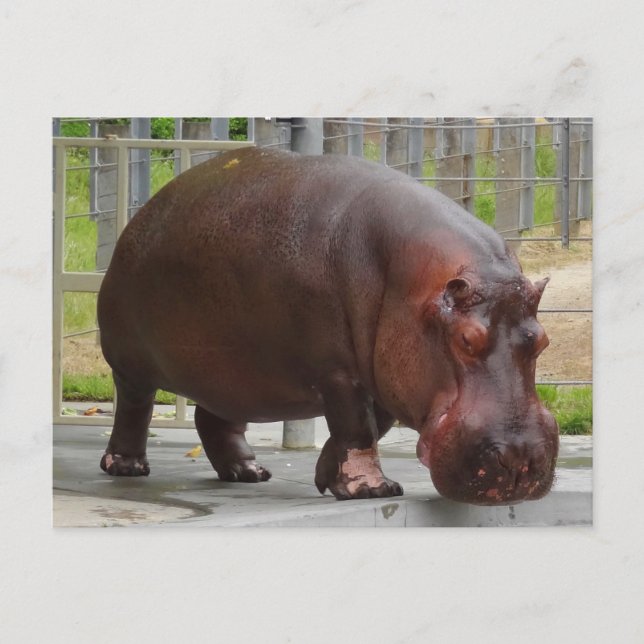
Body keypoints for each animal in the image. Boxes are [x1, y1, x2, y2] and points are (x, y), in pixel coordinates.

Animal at [97, 146, 558, 505]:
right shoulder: (338, 372)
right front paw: (373, 491)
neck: (409, 284)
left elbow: (368, 428)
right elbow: (357, 427)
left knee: (214, 419)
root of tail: (144, 213)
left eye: (542, 341)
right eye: (465, 339)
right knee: (134, 408)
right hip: (132, 363)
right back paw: (127, 467)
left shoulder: (383, 373)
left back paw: (249, 473)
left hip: (229, 372)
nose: (519, 460)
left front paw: (326, 477)